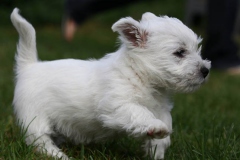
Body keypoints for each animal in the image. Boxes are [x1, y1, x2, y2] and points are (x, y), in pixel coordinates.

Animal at [10, 7, 210, 160]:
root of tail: (29, 66)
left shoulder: (160, 108)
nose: (205, 70)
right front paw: (157, 128)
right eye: (179, 52)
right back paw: (59, 155)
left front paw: (157, 148)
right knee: (40, 141)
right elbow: (140, 112)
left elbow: (165, 122)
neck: (140, 76)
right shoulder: (116, 105)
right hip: (34, 118)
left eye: (197, 48)